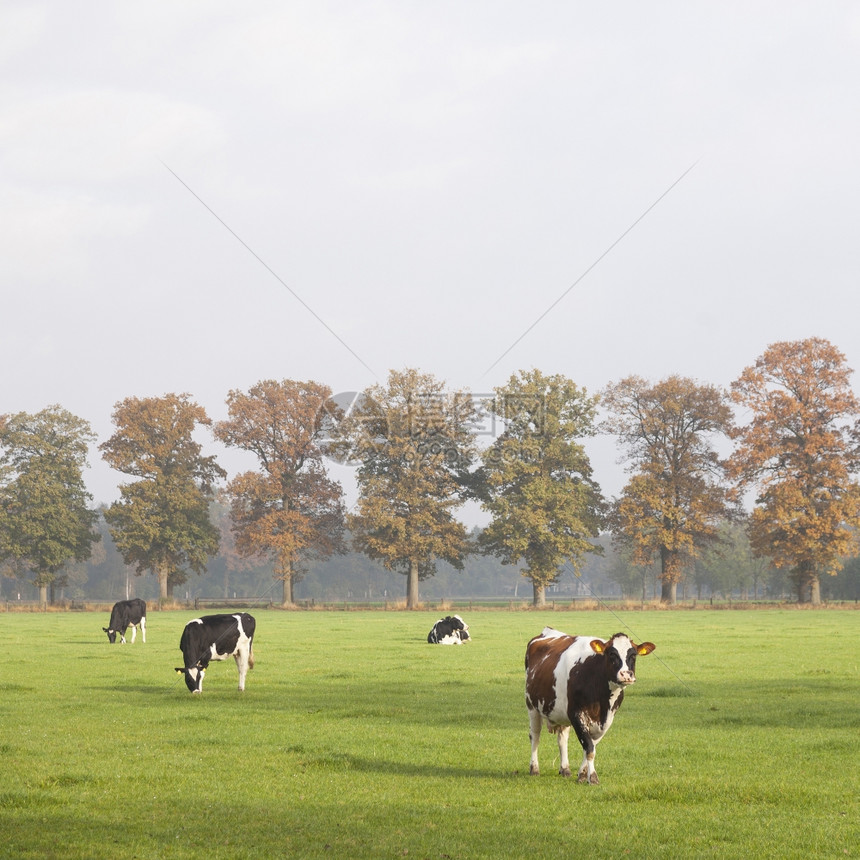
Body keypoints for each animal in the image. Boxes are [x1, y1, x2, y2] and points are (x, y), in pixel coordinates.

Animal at [520, 628, 656, 784]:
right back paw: (534, 768)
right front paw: (593, 777)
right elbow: (589, 748)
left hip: (561, 712)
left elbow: (591, 747)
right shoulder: (576, 714)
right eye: (612, 654)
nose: (626, 675)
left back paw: (565, 769)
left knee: (562, 739)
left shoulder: (607, 720)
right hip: (532, 706)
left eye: (633, 655)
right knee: (535, 736)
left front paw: (582, 774)